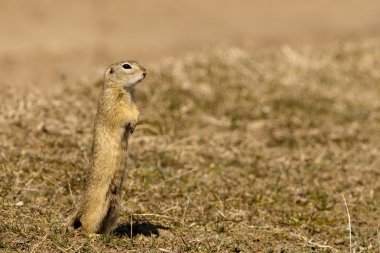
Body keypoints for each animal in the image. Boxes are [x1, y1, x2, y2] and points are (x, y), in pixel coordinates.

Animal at [71, 60, 147, 234]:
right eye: (126, 66)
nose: (145, 72)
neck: (123, 89)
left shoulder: (132, 102)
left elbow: (136, 110)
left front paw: (134, 126)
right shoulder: (114, 103)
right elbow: (124, 114)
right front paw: (132, 124)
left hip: (114, 209)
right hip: (97, 208)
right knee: (85, 225)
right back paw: (94, 236)